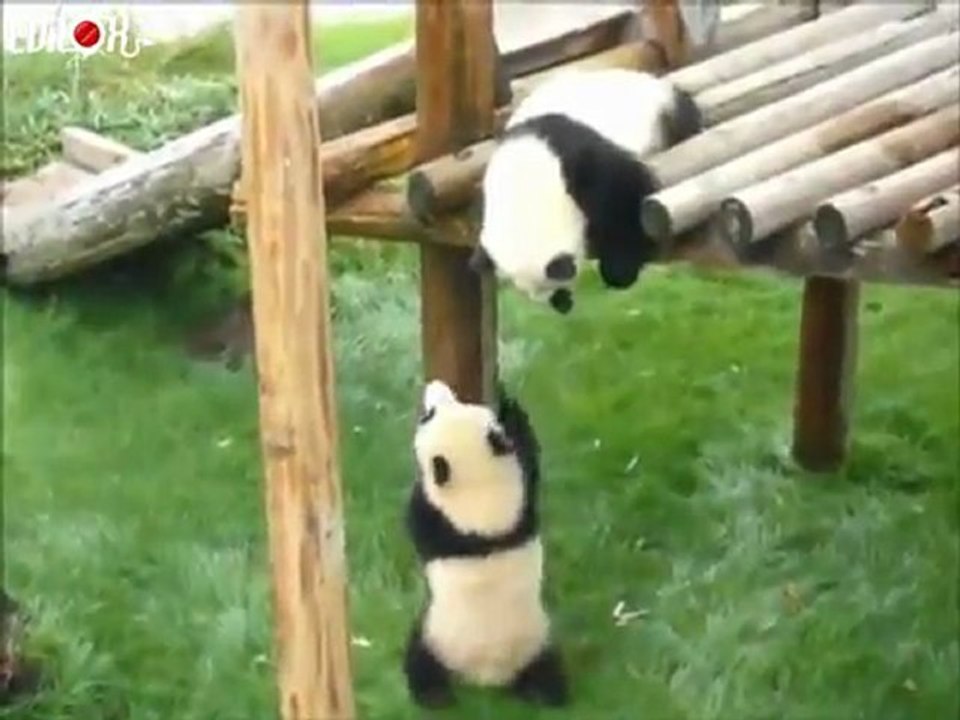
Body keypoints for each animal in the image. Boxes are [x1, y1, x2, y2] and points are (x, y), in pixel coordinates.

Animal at [403, 379, 568, 709]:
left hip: (436, 633)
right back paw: (551, 695)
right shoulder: (523, 506)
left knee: (419, 660)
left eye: (428, 416)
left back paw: (433, 696)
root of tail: (489, 678)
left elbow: (417, 520)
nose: (435, 387)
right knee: (547, 672)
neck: (484, 491)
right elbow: (530, 459)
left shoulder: (439, 520)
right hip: (538, 641)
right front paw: (509, 406)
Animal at [469, 68, 702, 314]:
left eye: (556, 289)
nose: (563, 306)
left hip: (662, 110)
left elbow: (623, 201)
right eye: (534, 296)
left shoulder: (583, 164)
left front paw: (620, 271)